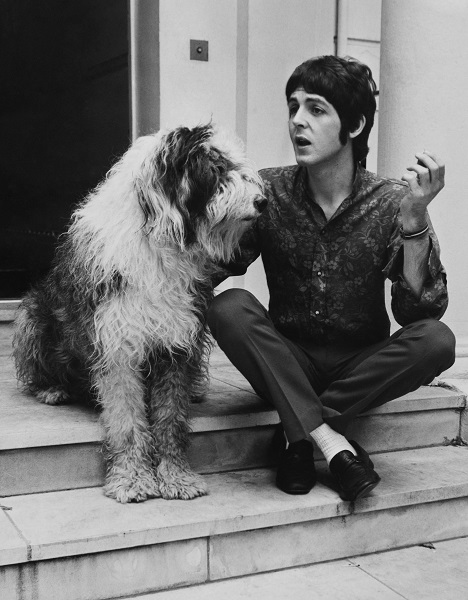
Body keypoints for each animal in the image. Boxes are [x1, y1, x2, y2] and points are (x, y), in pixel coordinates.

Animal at [12, 124, 266, 504]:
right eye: (216, 167)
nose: (263, 201)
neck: (162, 243)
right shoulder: (115, 342)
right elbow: (127, 418)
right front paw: (132, 478)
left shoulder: (178, 340)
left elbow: (171, 417)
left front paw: (176, 476)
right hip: (31, 317)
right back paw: (52, 390)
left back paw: (196, 390)